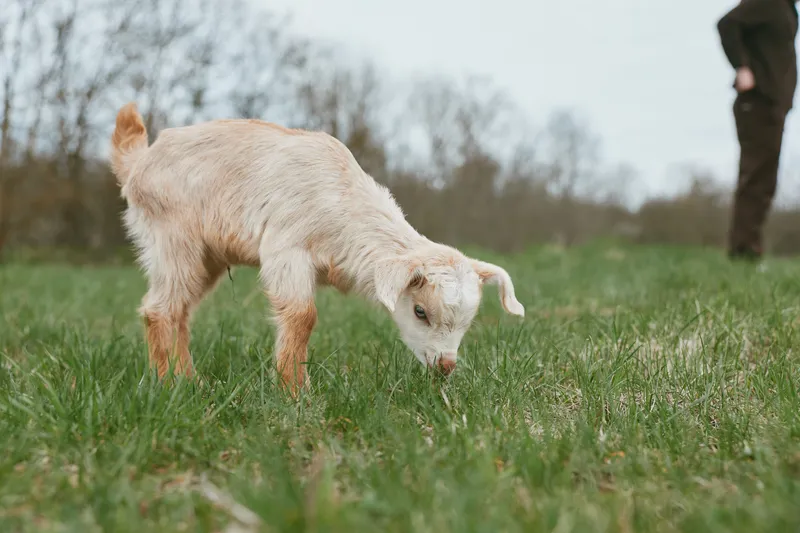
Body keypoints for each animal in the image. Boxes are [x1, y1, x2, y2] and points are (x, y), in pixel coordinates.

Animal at [109, 102, 525, 395]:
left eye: (469, 320)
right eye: (420, 311)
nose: (445, 366)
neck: (342, 204)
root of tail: (138, 162)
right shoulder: (287, 249)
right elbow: (302, 315)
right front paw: (297, 395)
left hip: (206, 256)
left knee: (181, 310)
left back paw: (190, 380)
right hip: (173, 237)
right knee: (160, 309)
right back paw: (171, 385)